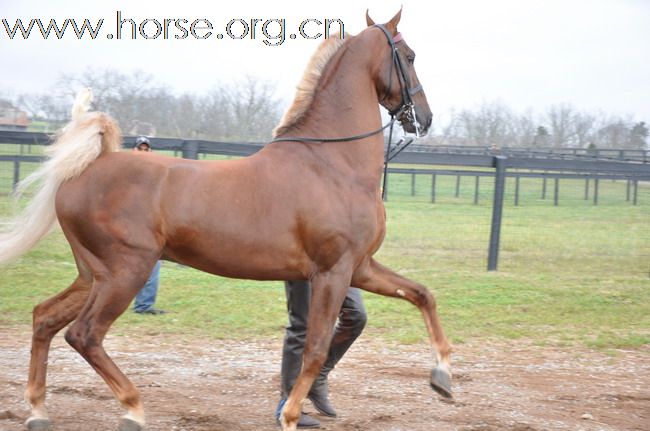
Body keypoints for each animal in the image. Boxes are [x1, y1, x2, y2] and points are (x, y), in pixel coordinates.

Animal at [1, 7, 450, 431]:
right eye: (410, 56)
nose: (424, 118)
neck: (332, 162)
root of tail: (85, 169)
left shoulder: (360, 267)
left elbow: (422, 294)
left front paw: (443, 376)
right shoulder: (333, 272)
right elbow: (315, 347)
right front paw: (290, 415)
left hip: (92, 274)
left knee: (44, 318)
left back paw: (38, 410)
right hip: (125, 272)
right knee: (84, 334)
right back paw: (133, 409)